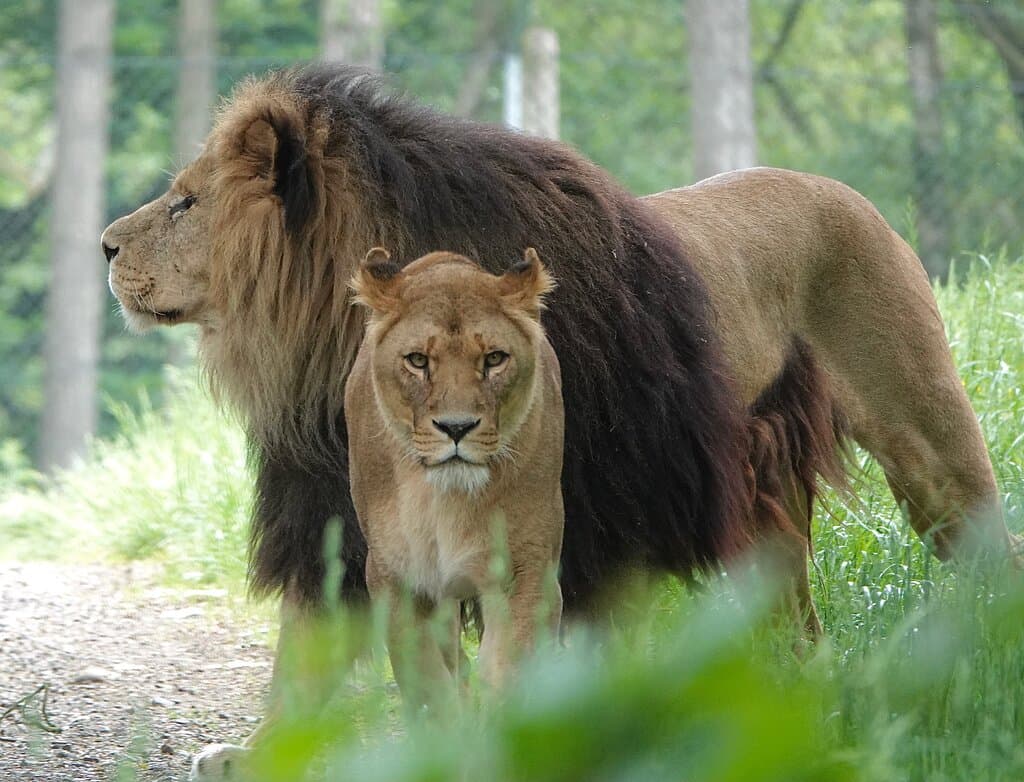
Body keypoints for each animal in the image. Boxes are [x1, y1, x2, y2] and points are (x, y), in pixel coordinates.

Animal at [346, 246, 563, 705]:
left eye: (494, 359)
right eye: (417, 360)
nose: (457, 428)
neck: (446, 498)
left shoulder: (526, 572)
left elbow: (508, 674)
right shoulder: (396, 580)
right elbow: (428, 685)